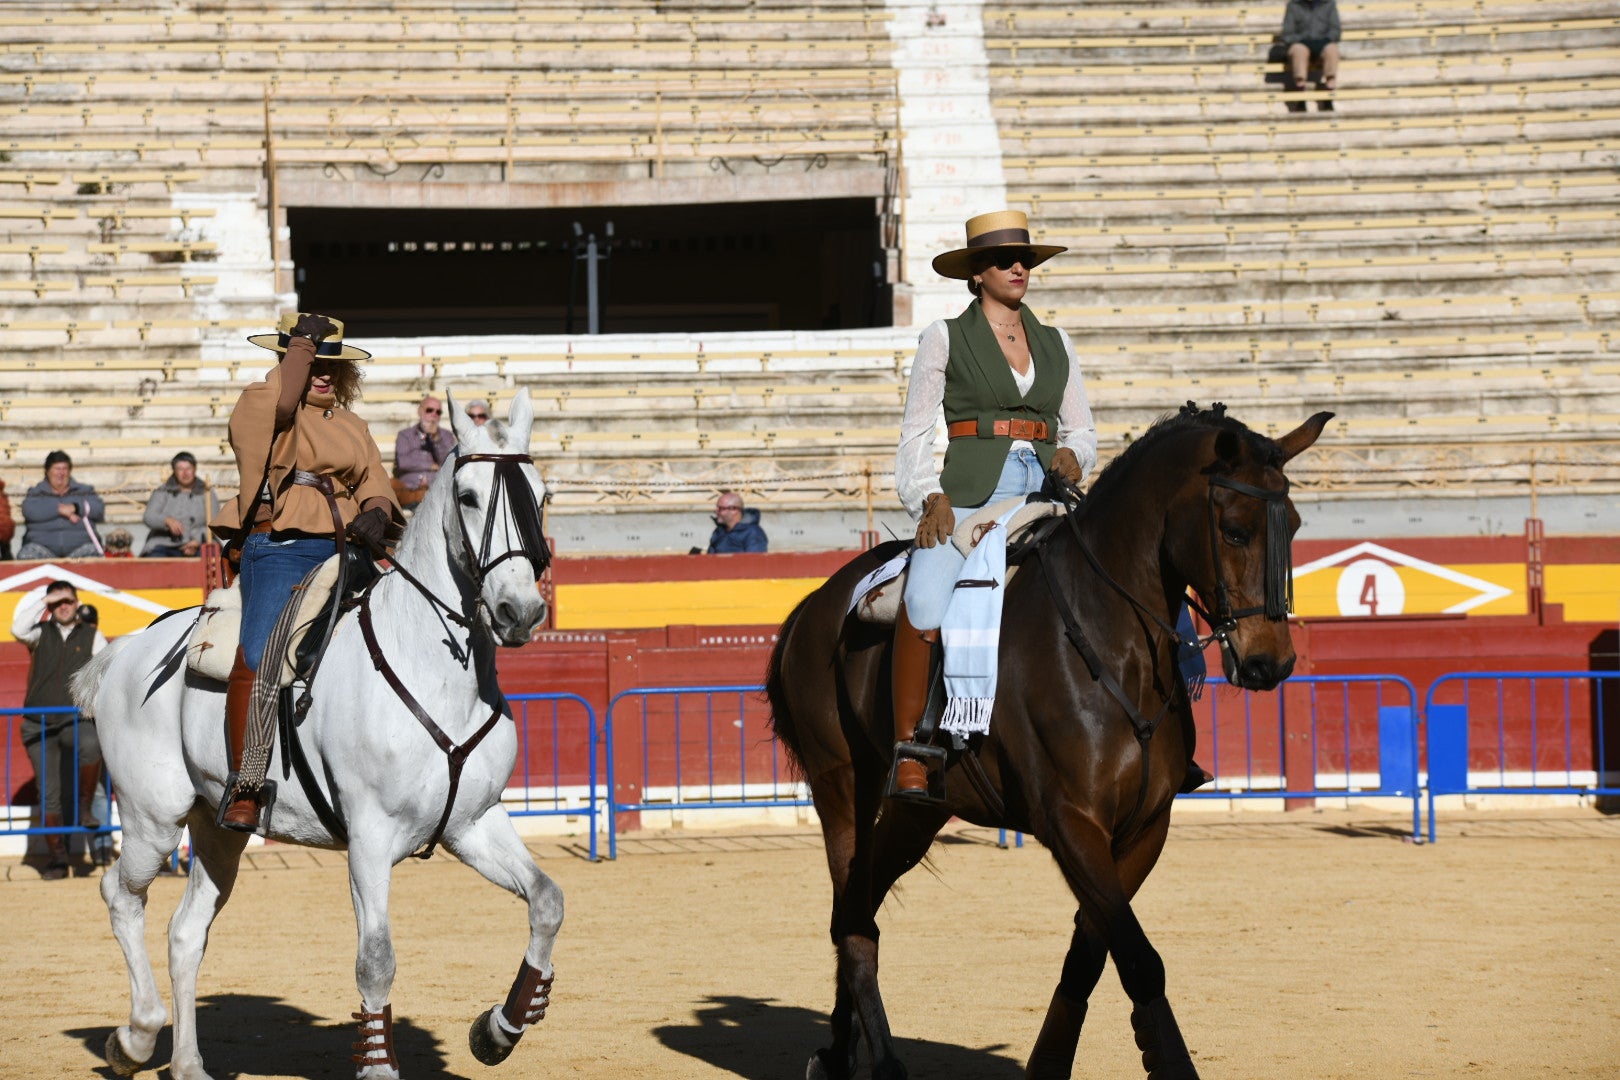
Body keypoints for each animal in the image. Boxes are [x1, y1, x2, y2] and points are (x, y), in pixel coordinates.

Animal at [74, 388, 563, 1080]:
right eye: (468, 496)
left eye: (540, 495)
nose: (520, 611)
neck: (437, 667)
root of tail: (126, 651)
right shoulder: (370, 837)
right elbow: (376, 958)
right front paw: (380, 1063)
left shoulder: (473, 822)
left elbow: (547, 900)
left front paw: (500, 1029)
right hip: (152, 819)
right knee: (119, 893)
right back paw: (136, 1037)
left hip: (217, 829)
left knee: (186, 932)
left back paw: (188, 1063)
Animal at [764, 404, 1334, 1080]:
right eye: (1238, 530)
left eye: (1293, 525)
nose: (1271, 663)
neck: (1110, 639)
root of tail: (813, 603)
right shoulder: (1071, 821)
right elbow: (1139, 960)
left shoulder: (1145, 828)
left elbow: (1091, 953)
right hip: (841, 785)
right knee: (851, 917)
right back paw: (880, 1063)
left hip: (916, 809)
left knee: (859, 907)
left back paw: (837, 1051)